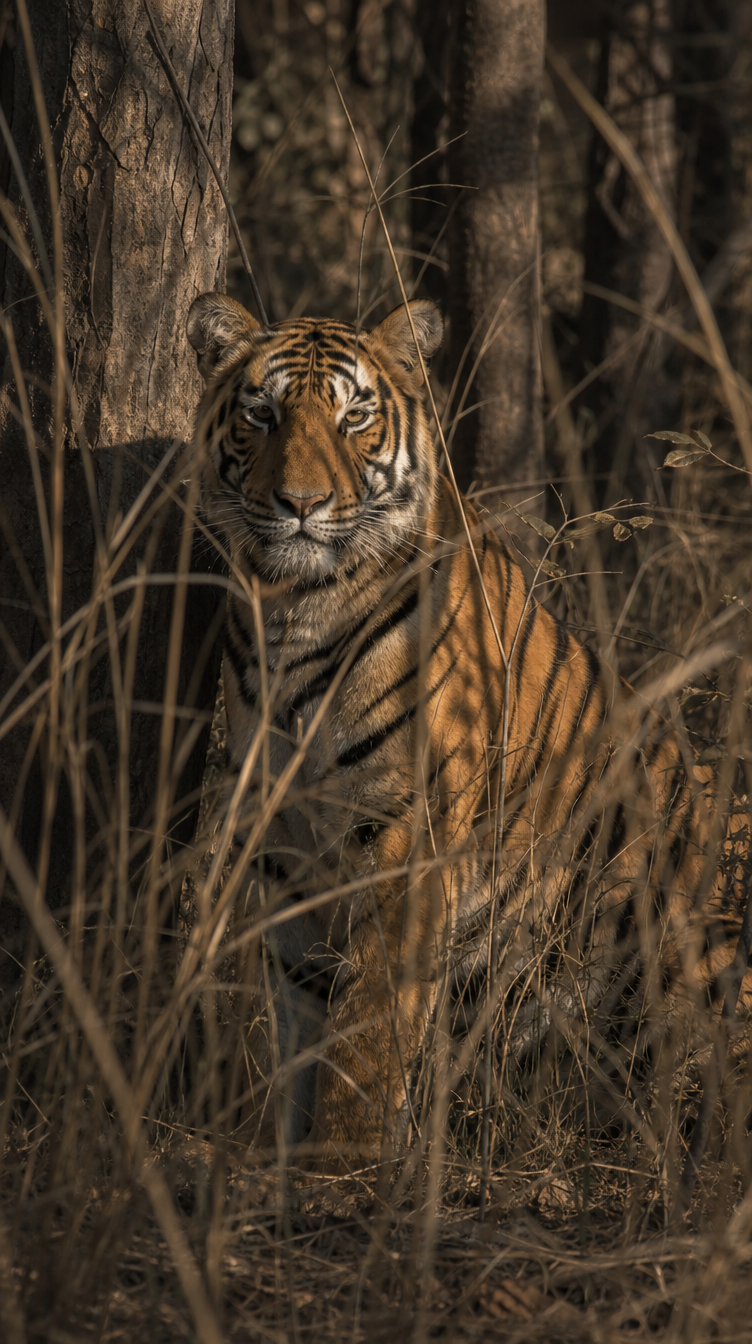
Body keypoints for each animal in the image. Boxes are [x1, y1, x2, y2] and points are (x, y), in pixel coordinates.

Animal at [187, 291, 752, 1174]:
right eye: (261, 413)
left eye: (353, 418)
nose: (301, 505)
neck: (293, 610)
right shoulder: (283, 840)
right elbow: (302, 1016)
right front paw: (280, 1159)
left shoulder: (404, 830)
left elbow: (369, 1018)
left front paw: (342, 1163)